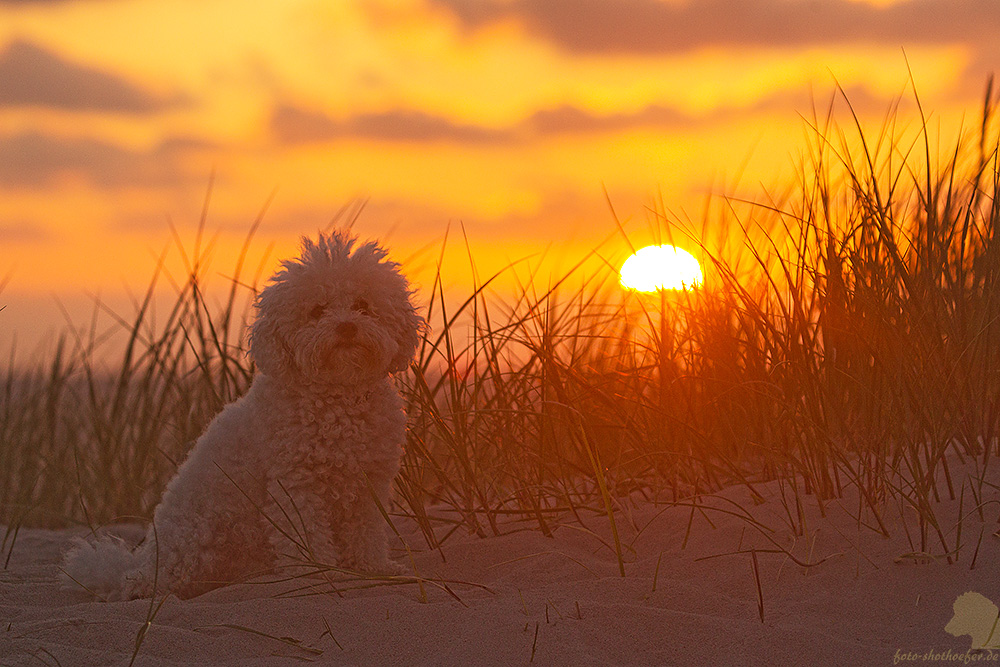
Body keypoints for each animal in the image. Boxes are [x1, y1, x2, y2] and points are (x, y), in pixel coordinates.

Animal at [62, 234, 422, 600]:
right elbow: (308, 535)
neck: (339, 398)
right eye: (317, 311)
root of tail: (141, 562)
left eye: (363, 305)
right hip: (194, 538)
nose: (347, 326)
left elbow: (367, 531)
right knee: (153, 582)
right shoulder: (297, 485)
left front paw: (373, 567)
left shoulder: (369, 481)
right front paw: (318, 574)